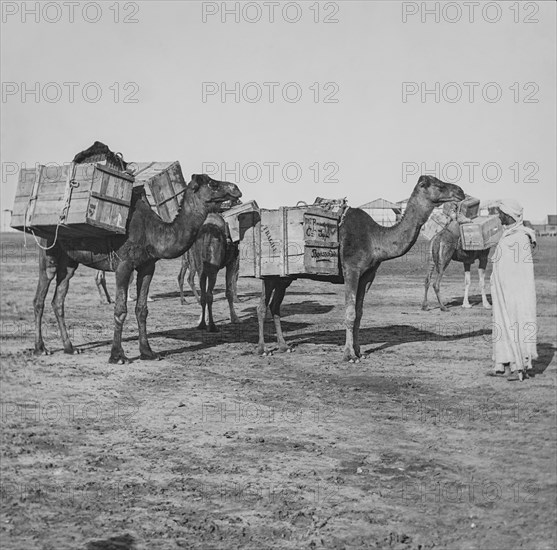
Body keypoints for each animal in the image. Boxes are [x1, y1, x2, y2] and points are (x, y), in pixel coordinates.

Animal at [32, 153, 241, 364]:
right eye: (213, 183)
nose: (236, 189)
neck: (152, 232)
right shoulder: (123, 265)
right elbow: (120, 309)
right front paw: (118, 356)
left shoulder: (147, 267)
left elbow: (142, 309)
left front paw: (147, 352)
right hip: (48, 249)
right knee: (40, 297)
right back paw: (41, 348)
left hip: (69, 261)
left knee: (59, 298)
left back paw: (70, 348)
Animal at [256, 177, 464, 362]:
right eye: (438, 185)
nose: (460, 191)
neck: (375, 238)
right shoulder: (352, 270)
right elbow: (350, 313)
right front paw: (349, 356)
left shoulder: (367, 275)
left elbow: (359, 313)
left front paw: (359, 352)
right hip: (269, 273)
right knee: (262, 306)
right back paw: (263, 349)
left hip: (284, 278)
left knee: (275, 305)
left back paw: (284, 346)